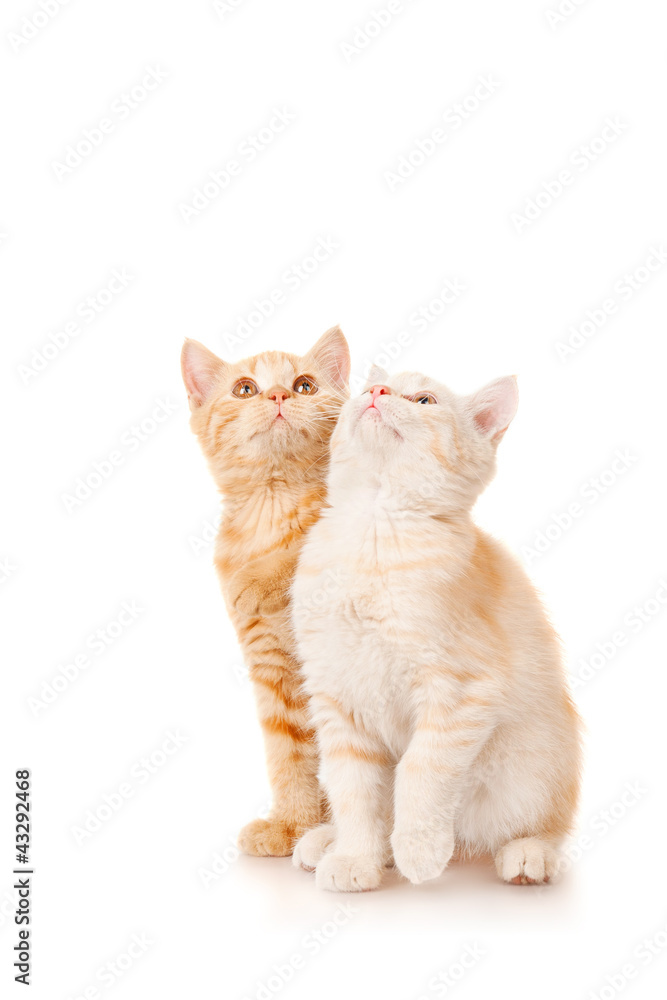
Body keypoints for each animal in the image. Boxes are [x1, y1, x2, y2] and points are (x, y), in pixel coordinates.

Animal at [180, 324, 352, 856]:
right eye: (244, 389)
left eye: (304, 385)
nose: (277, 395)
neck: (273, 506)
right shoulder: (271, 668)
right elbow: (288, 751)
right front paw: (292, 824)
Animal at [294, 368, 584, 892]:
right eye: (368, 388)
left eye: (424, 400)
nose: (377, 392)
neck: (373, 527)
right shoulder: (337, 697)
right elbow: (353, 789)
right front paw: (356, 858)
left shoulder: (462, 690)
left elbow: (420, 770)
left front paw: (419, 850)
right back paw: (329, 841)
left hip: (537, 764)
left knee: (546, 823)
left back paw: (529, 854)